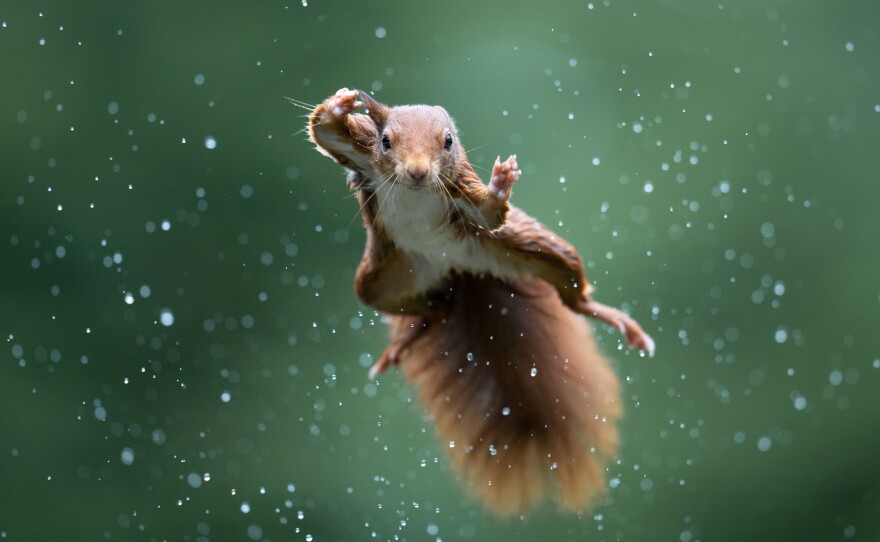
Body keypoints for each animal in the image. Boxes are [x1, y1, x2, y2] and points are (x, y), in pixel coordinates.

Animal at [308, 87, 652, 516]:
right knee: (432, 310)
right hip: (381, 280)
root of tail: (458, 271)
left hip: (533, 249)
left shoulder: (461, 192)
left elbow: (489, 214)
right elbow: (324, 131)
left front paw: (501, 184)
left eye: (448, 142)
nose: (418, 172)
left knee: (572, 295)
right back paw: (405, 340)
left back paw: (617, 320)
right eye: (386, 141)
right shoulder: (362, 155)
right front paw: (340, 104)